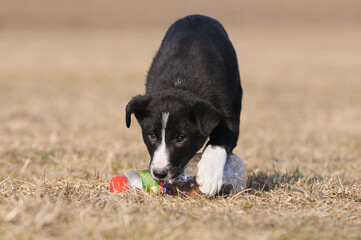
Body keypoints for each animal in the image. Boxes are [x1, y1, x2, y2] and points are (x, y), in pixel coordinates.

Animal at [126, 14, 242, 196]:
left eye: (180, 138)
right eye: (152, 136)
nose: (159, 173)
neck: (180, 84)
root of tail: (198, 15)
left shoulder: (228, 119)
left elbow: (218, 144)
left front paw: (209, 177)